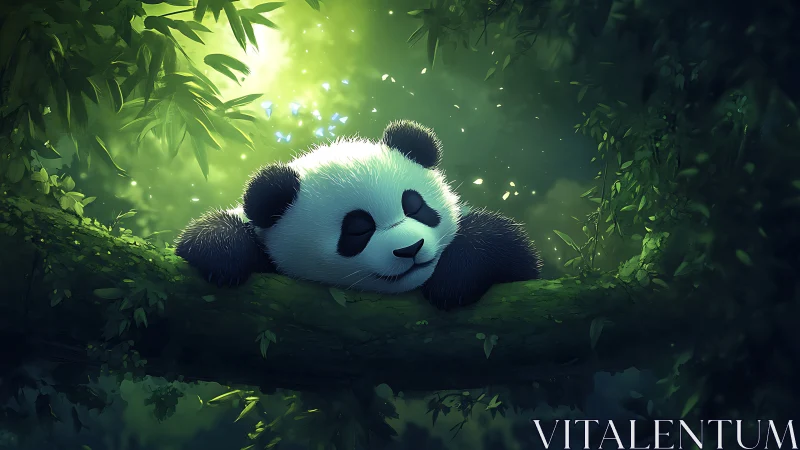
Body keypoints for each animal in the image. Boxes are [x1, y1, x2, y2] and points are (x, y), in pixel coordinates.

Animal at [175, 120, 542, 310]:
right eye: (357, 231)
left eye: (415, 206)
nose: (410, 249)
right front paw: (224, 256)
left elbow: (508, 246)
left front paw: (455, 279)